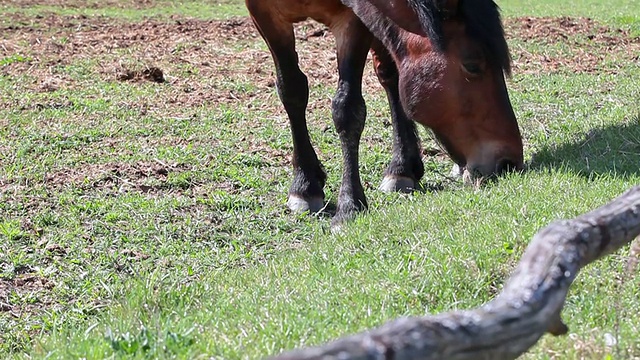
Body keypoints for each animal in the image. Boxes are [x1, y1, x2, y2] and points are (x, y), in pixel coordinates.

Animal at [245, 0, 524, 225]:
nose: (508, 163)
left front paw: (349, 205)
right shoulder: (264, 13)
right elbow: (292, 91)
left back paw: (401, 170)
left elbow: (347, 108)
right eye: (472, 66)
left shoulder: (352, 19)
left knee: (390, 73)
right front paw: (304, 186)